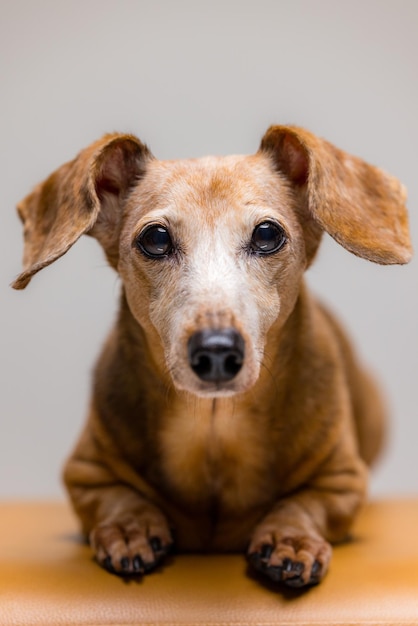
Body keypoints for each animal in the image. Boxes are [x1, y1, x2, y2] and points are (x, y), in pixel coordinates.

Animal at [13, 125, 412, 584]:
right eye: (155, 238)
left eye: (267, 234)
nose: (217, 351)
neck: (214, 429)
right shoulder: (85, 474)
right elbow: (117, 499)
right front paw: (130, 529)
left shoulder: (342, 482)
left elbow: (304, 504)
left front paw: (290, 539)